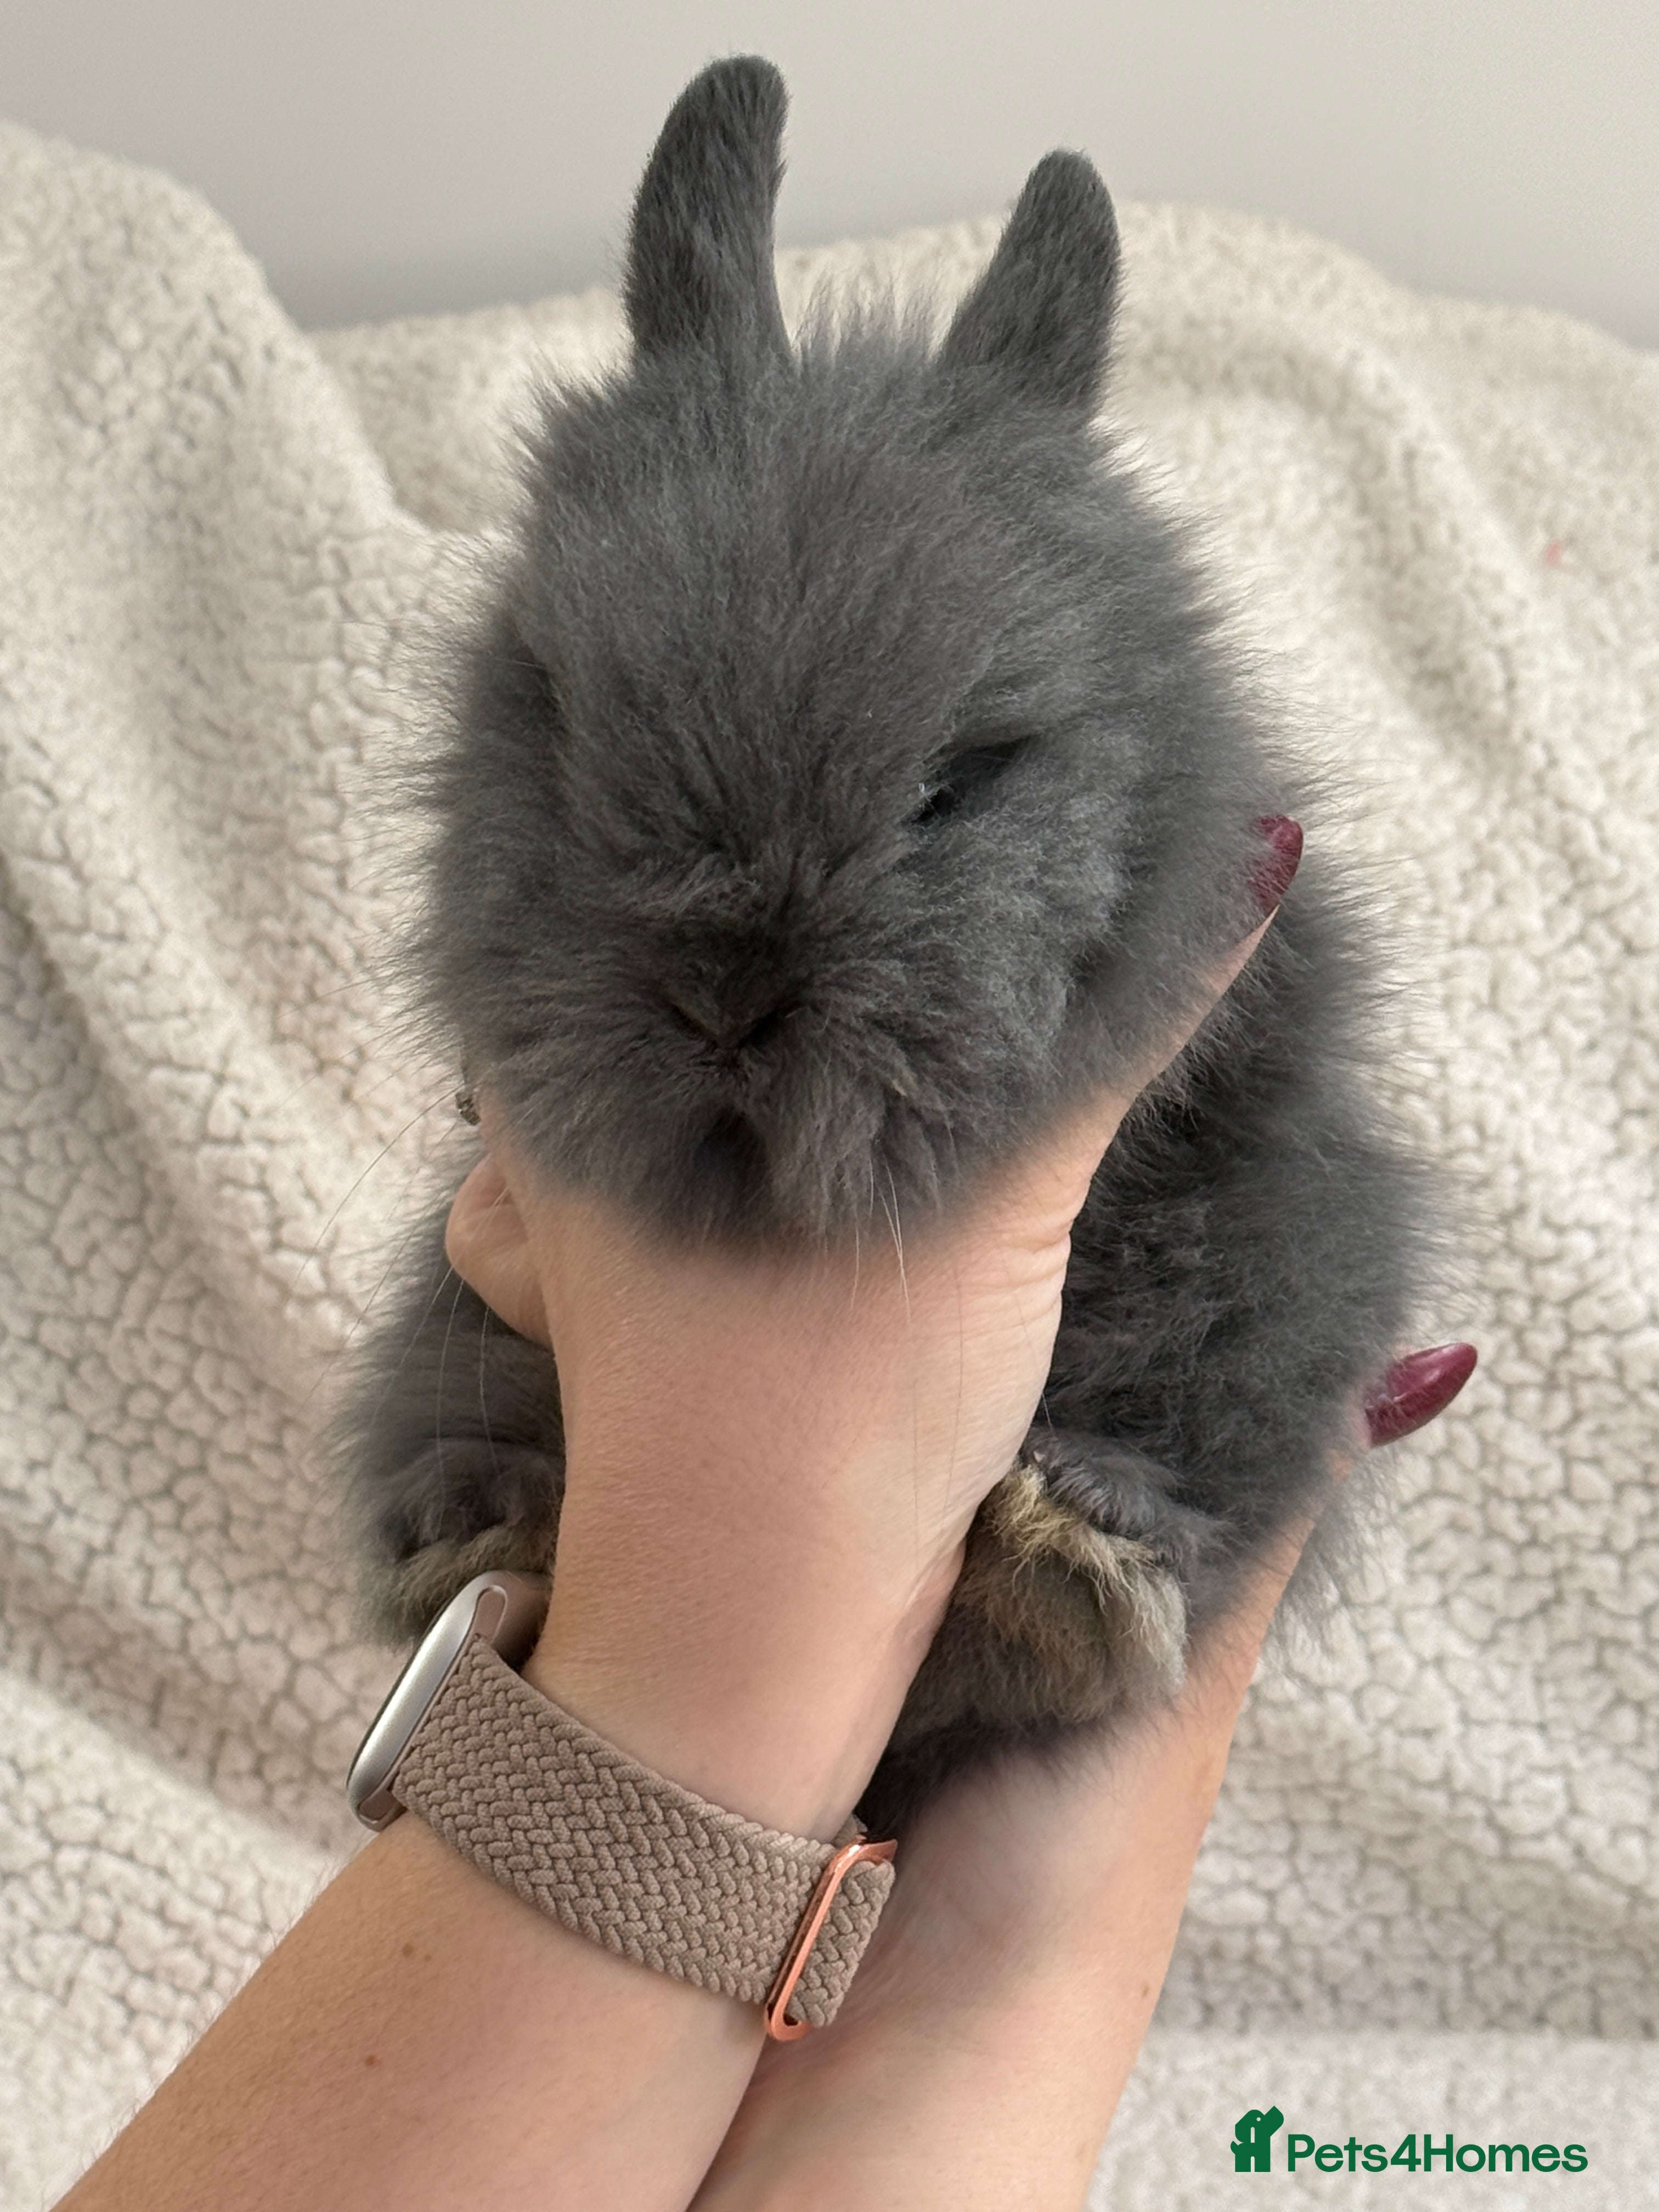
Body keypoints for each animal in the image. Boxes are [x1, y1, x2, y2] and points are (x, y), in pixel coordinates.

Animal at [334, 55, 1436, 1833]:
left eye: (959, 777)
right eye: (555, 707)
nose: (724, 992)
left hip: (1284, 1268)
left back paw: (1071, 1561)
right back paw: (477, 1520)